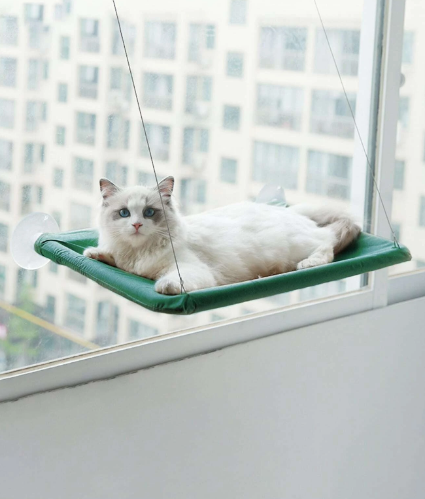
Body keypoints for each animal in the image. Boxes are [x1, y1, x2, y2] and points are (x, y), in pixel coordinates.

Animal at [83, 177, 362, 294]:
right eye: (124, 213)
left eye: (149, 212)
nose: (137, 225)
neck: (138, 253)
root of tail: (288, 211)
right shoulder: (126, 262)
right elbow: (113, 258)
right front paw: (94, 253)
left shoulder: (190, 269)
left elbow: (171, 280)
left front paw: (164, 286)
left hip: (298, 245)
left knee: (327, 243)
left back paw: (308, 263)